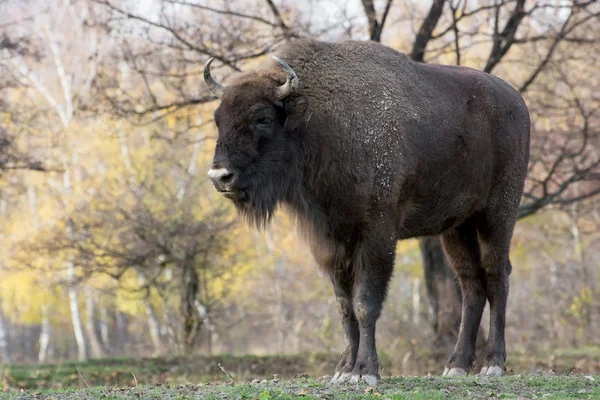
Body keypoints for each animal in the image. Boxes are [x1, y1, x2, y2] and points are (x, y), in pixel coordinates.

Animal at [203, 38, 528, 384]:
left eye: (262, 118)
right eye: (218, 118)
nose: (220, 177)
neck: (321, 122)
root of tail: (517, 103)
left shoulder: (377, 235)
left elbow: (365, 304)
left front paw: (365, 371)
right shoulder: (331, 242)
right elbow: (345, 307)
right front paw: (343, 370)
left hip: (498, 213)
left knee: (497, 274)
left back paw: (493, 363)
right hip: (457, 227)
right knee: (470, 282)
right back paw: (456, 365)